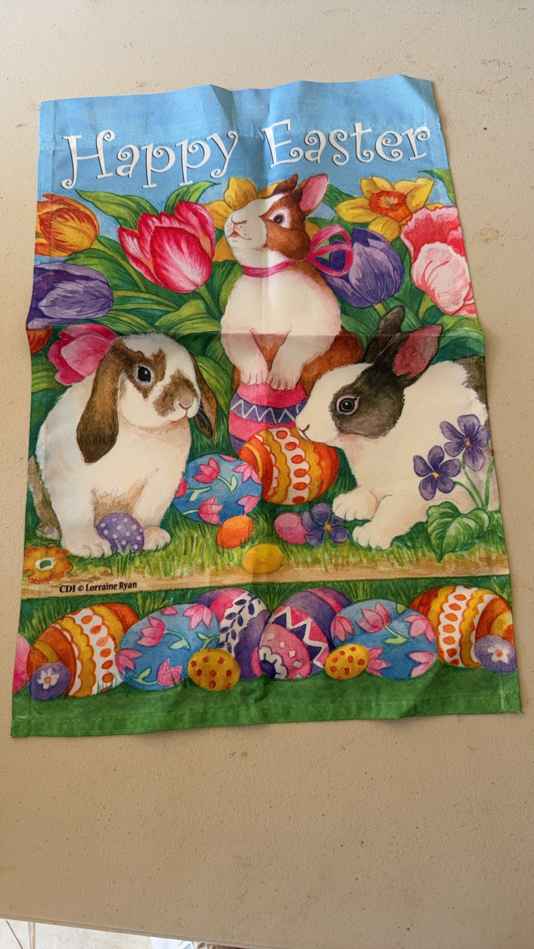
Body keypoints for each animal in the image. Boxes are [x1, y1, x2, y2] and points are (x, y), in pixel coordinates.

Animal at [29, 333, 216, 558]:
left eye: (192, 370)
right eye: (143, 373)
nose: (187, 402)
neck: (143, 430)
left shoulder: (161, 481)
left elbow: (147, 510)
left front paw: (151, 536)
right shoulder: (69, 479)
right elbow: (77, 513)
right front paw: (88, 546)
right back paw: (49, 531)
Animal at [221, 173, 342, 390]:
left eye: (279, 218)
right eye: (254, 202)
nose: (236, 219)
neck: (268, 274)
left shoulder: (317, 323)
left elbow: (294, 347)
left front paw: (280, 381)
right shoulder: (235, 324)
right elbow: (244, 347)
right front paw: (255, 377)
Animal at [295, 307, 494, 550]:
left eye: (347, 404)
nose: (301, 425)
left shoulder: (426, 492)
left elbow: (392, 510)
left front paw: (369, 535)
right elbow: (369, 495)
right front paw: (347, 506)